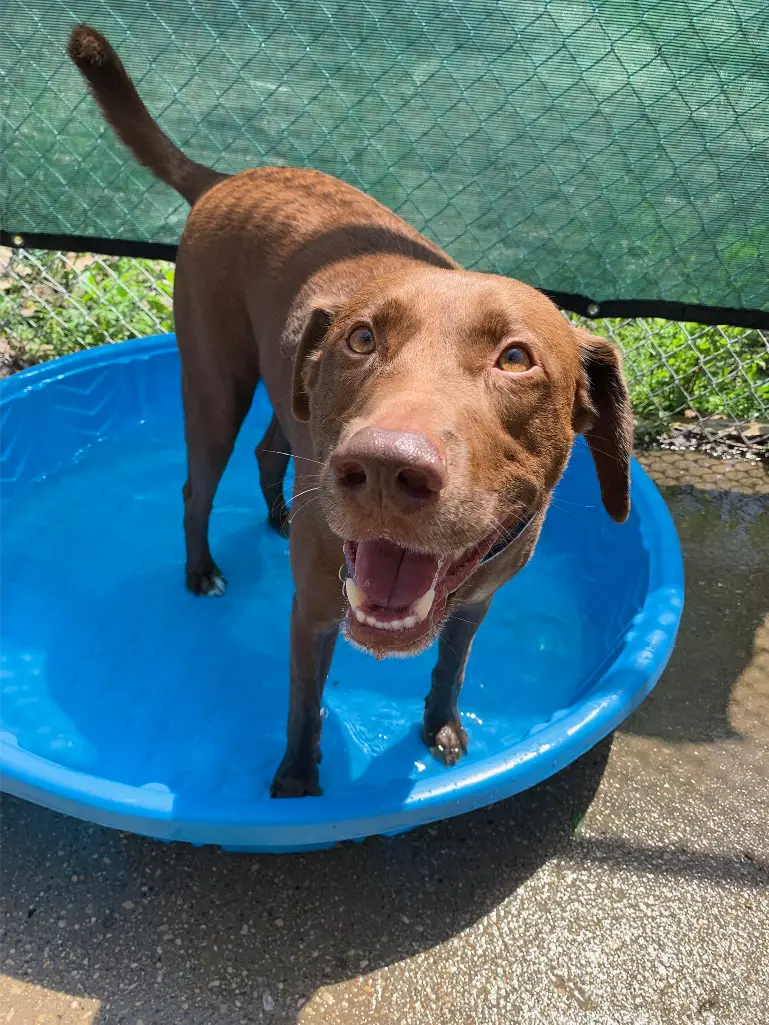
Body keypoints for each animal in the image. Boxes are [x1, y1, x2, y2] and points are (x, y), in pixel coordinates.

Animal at [68, 25, 633, 797]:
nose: (386, 467)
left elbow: (450, 667)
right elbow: (304, 704)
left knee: (268, 451)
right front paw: (297, 784)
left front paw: (440, 727)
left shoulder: (476, 602)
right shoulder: (311, 611)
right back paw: (201, 570)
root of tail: (226, 179)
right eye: (362, 338)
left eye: (516, 359)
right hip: (215, 387)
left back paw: (277, 516)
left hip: (288, 395)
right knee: (196, 487)